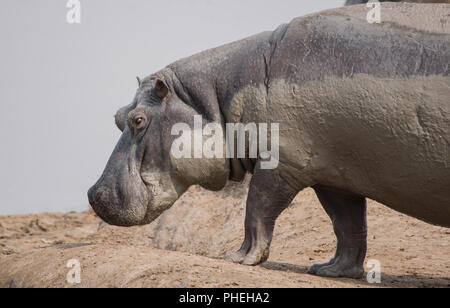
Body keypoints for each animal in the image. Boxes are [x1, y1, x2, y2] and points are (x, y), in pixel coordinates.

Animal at [89, 3, 450, 280]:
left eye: (138, 120)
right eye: (118, 116)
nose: (93, 194)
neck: (213, 99)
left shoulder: (281, 163)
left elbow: (257, 210)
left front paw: (239, 258)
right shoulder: (333, 176)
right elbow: (347, 224)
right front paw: (331, 270)